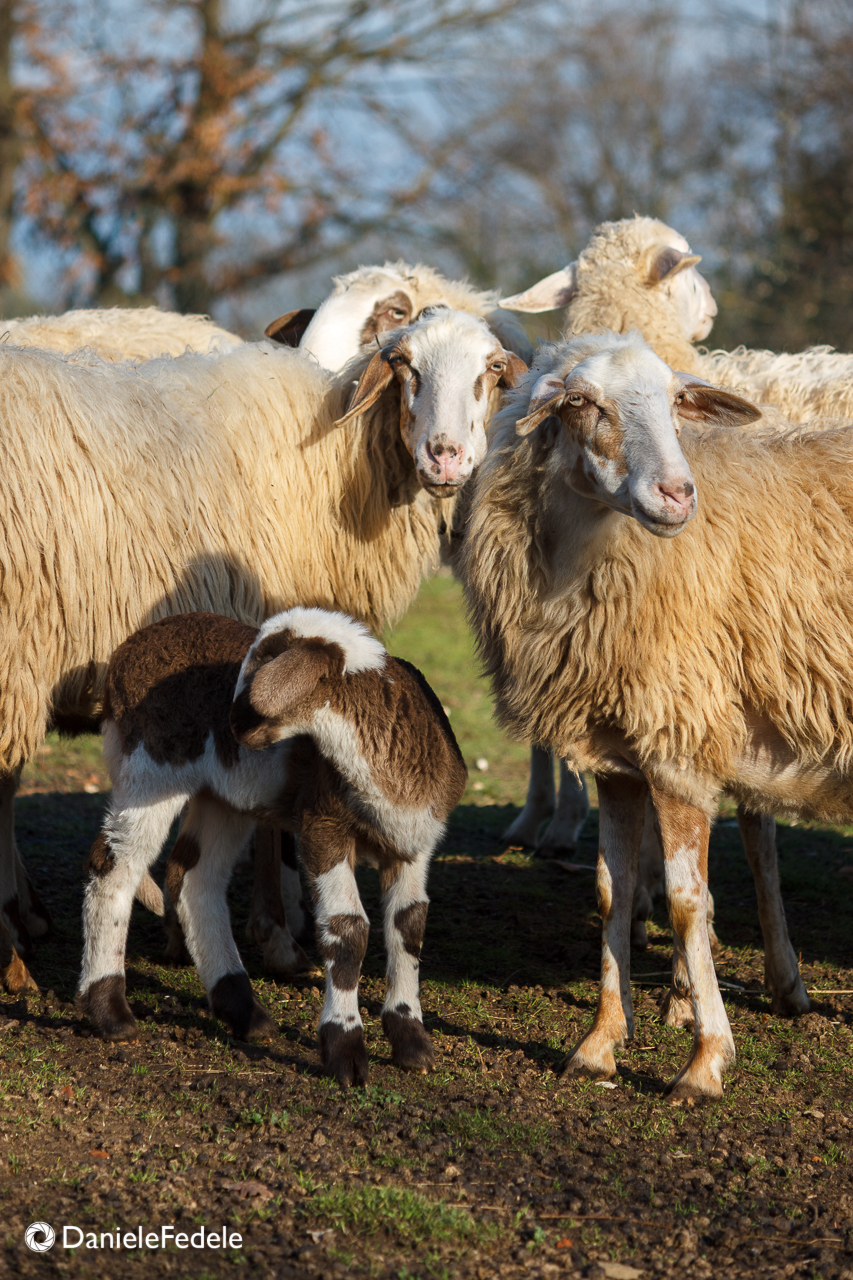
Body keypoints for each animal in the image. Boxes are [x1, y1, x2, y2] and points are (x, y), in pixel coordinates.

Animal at [0, 309, 524, 993]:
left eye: (492, 368)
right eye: (406, 363)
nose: (445, 456)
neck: (337, 465)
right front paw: (275, 934)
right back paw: (14, 952)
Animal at [77, 607, 467, 1085]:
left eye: (259, 669)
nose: (229, 724)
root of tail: (124, 655)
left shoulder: (413, 843)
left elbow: (410, 926)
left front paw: (411, 1041)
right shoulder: (323, 824)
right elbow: (348, 929)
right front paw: (345, 1049)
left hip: (222, 794)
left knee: (193, 879)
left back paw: (242, 1009)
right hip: (151, 768)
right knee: (113, 867)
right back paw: (110, 1011)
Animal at [461, 328, 836, 1098]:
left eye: (675, 401)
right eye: (580, 402)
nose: (676, 494)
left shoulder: (678, 739)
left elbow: (687, 900)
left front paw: (705, 1058)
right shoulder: (617, 756)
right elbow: (614, 889)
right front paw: (600, 1042)